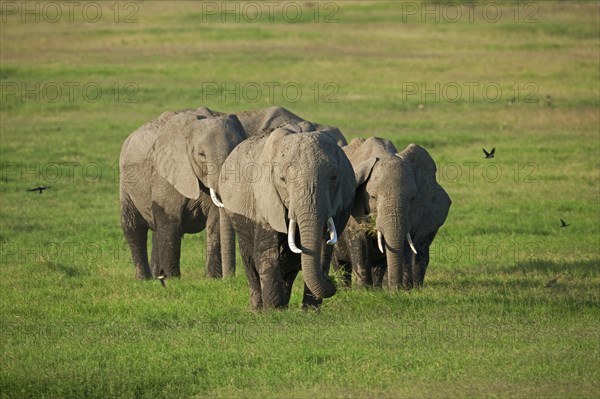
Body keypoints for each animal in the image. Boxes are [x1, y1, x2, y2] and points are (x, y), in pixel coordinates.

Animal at [119, 108, 246, 280]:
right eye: (201, 155)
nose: (230, 278)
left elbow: (215, 222)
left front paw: (212, 278)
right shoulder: (165, 173)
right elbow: (169, 218)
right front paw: (173, 279)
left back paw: (157, 276)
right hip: (126, 183)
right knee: (132, 227)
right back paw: (144, 279)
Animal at [217, 123, 354, 310]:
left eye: (334, 178)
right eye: (282, 179)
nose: (333, 282)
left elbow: (322, 251)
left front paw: (309, 311)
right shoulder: (265, 200)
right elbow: (267, 253)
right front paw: (274, 311)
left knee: (289, 263)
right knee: (250, 260)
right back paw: (258, 309)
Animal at [332, 138, 450, 290]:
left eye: (412, 199)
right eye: (373, 197)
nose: (396, 289)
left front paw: (378, 291)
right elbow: (360, 243)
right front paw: (363, 290)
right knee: (340, 264)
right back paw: (345, 290)